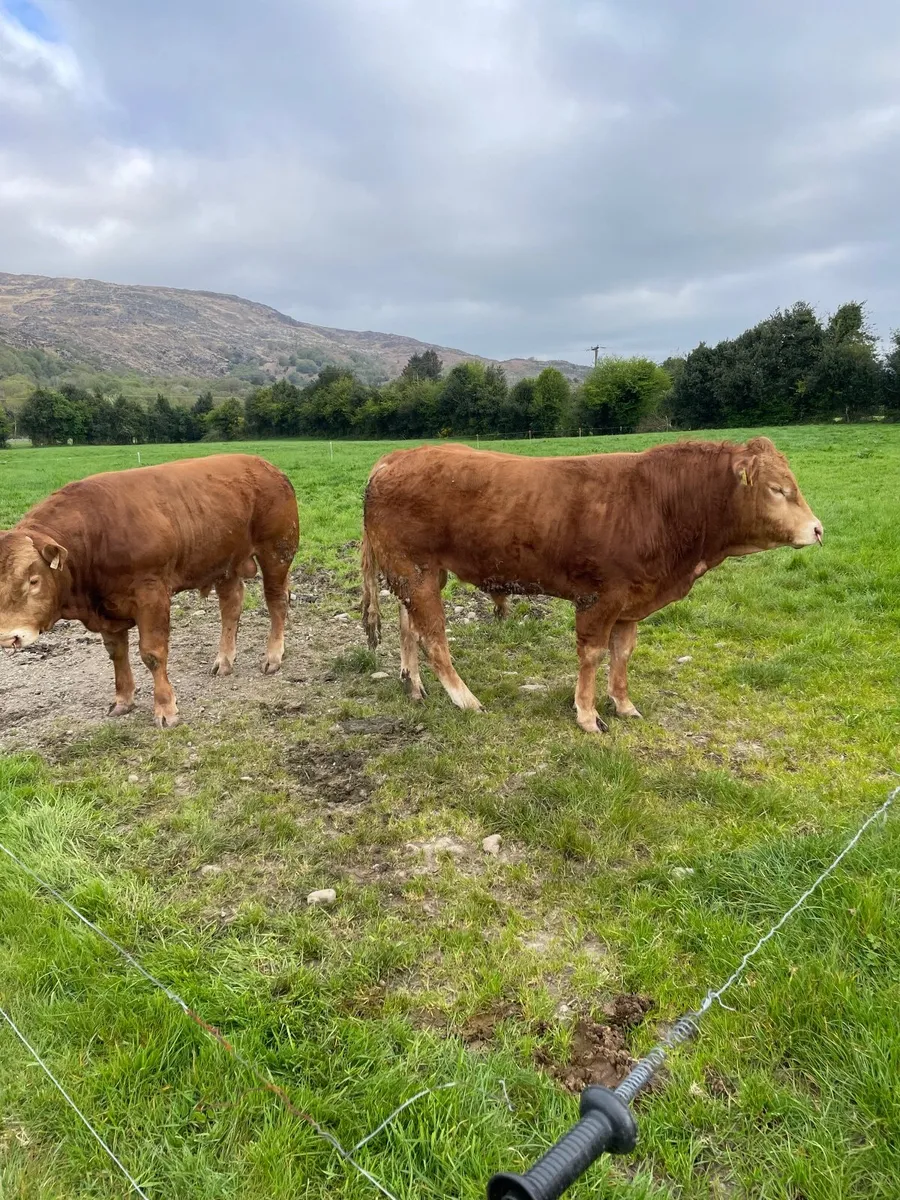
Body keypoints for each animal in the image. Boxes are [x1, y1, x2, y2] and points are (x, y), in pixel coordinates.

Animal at [0, 454, 299, 728]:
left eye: (33, 580)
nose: (7, 637)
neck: (95, 534)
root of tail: (264, 465)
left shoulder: (151, 594)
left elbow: (152, 654)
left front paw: (166, 709)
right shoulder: (107, 608)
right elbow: (117, 654)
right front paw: (123, 700)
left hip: (277, 552)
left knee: (276, 601)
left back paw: (273, 656)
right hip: (225, 562)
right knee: (231, 606)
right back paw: (224, 661)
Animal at [360, 437, 822, 733]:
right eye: (778, 489)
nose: (818, 530)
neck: (663, 505)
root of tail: (395, 457)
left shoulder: (632, 602)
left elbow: (622, 654)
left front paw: (623, 704)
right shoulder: (599, 599)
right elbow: (593, 655)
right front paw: (586, 714)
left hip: (419, 573)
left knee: (409, 627)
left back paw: (413, 686)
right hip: (415, 571)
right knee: (434, 638)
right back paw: (466, 700)